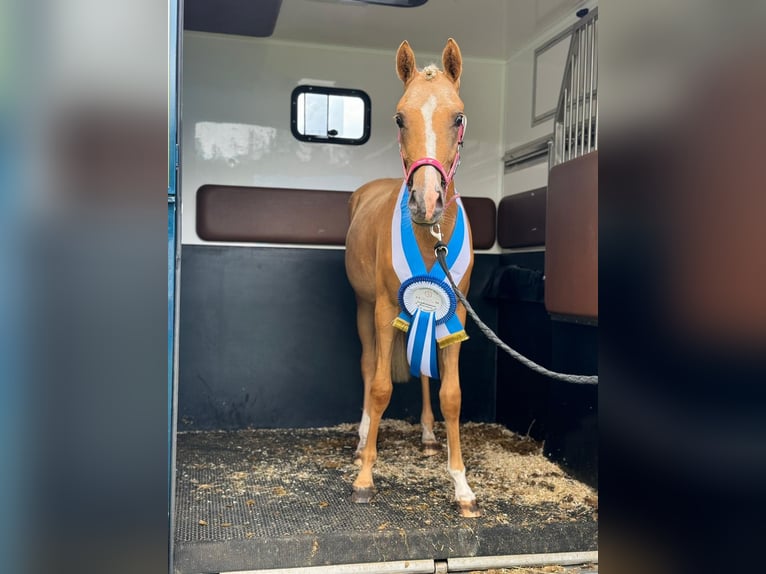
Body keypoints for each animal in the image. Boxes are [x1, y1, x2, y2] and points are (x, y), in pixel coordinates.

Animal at [346, 38, 480, 520]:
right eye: (400, 118)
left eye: (457, 116)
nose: (427, 202)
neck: (429, 237)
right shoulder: (387, 306)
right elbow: (381, 385)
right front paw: (365, 477)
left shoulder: (455, 311)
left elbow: (452, 395)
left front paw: (461, 485)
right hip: (366, 308)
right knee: (369, 366)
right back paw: (362, 440)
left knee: (422, 374)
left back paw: (424, 435)